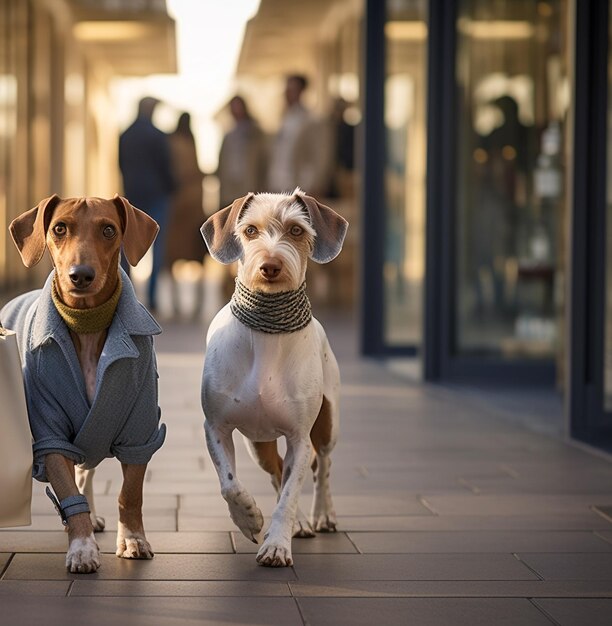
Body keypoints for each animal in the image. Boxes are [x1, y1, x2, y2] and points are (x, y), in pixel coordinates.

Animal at [0, 195, 165, 572]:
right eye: (60, 228)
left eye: (109, 230)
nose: (81, 275)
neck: (86, 323)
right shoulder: (49, 435)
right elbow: (69, 492)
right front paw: (81, 546)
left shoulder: (140, 432)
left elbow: (130, 493)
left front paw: (132, 539)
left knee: (85, 470)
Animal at [202, 188, 350, 564]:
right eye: (250, 230)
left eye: (296, 230)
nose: (270, 265)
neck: (267, 335)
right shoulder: (216, 427)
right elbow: (229, 483)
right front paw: (248, 517)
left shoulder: (300, 438)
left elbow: (289, 496)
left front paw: (277, 544)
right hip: (258, 444)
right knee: (277, 470)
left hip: (328, 425)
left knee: (323, 466)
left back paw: (322, 515)